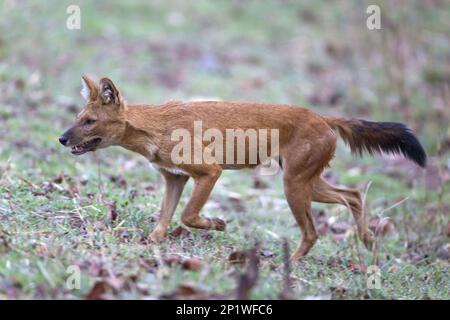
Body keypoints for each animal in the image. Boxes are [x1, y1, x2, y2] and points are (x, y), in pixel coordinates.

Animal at [59, 76, 426, 262]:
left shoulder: (210, 172)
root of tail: (323, 117)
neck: (155, 127)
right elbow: (164, 219)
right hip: (307, 182)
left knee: (313, 230)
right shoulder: (174, 178)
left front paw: (218, 224)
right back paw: (368, 242)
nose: (62, 138)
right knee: (352, 195)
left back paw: (289, 264)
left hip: (294, 184)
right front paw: (149, 245)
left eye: (89, 121)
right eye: (78, 118)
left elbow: (187, 215)